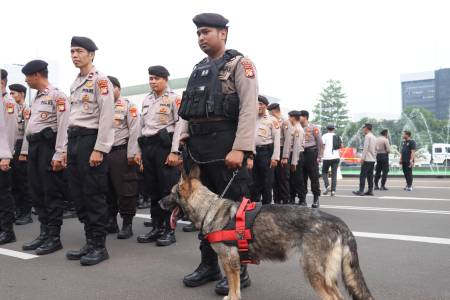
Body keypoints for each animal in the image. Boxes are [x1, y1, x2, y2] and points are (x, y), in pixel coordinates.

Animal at [160, 164, 374, 300]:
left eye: (170, 193)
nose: (158, 202)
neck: (209, 207)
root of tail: (339, 223)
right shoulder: (233, 261)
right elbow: (234, 287)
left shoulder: (230, 262)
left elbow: (234, 288)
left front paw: (231, 296)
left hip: (313, 272)